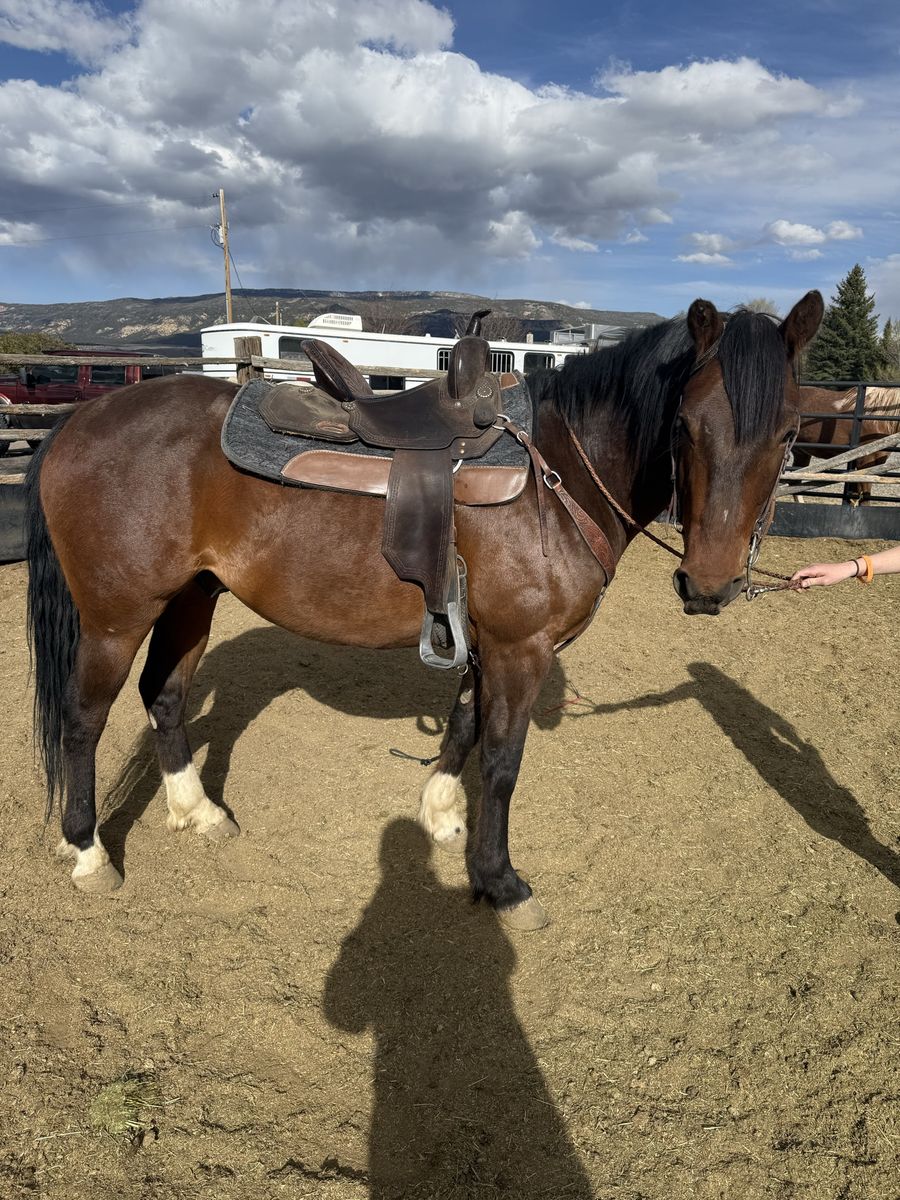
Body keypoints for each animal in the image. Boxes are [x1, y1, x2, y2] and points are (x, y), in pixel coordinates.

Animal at [25, 291, 823, 930]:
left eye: (790, 432)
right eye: (685, 423)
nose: (709, 584)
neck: (560, 472)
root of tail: (77, 422)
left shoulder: (488, 642)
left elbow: (465, 724)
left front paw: (440, 814)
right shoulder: (521, 649)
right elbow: (502, 762)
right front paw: (501, 881)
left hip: (191, 598)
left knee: (164, 695)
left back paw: (198, 812)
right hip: (115, 617)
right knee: (83, 719)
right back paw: (88, 851)